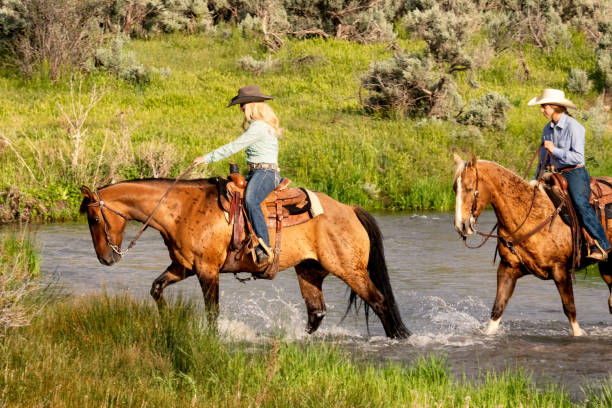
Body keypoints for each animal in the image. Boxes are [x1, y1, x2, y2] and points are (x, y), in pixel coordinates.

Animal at [77, 178, 412, 338]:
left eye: (93, 218)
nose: (105, 259)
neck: (181, 209)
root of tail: (349, 209)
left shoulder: (207, 270)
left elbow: (212, 311)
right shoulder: (183, 267)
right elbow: (156, 288)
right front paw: (167, 320)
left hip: (350, 270)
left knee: (379, 302)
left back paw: (398, 337)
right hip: (309, 271)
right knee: (316, 313)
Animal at [452, 155, 612, 336]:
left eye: (469, 188)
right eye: (454, 188)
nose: (460, 226)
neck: (529, 215)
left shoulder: (560, 270)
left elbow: (570, 309)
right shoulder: (507, 269)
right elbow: (497, 309)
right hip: (607, 267)